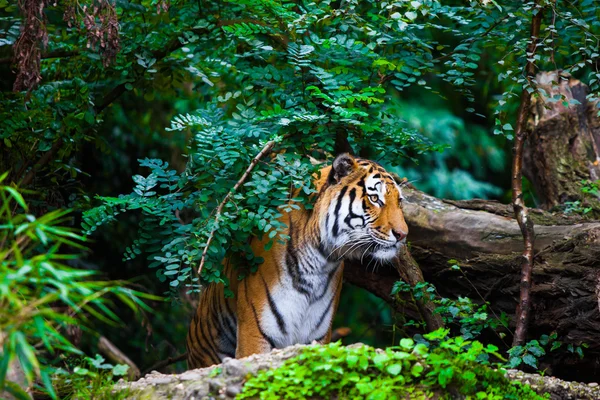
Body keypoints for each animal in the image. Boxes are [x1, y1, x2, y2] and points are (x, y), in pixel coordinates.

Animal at [186, 153, 408, 368]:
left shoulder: (318, 337)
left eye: (399, 202)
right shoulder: (254, 334)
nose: (403, 234)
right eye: (374, 198)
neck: (320, 262)